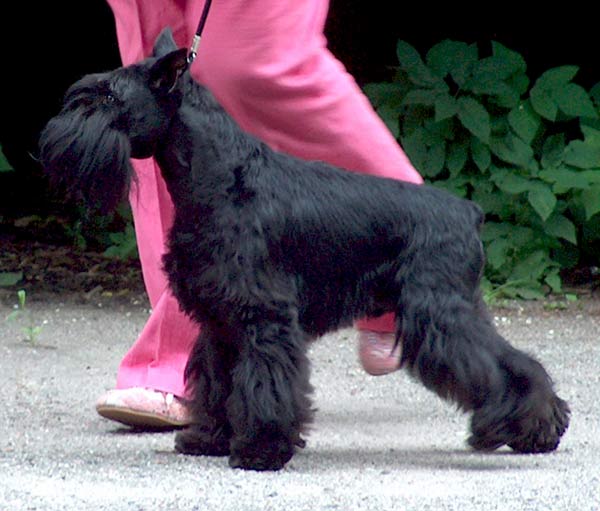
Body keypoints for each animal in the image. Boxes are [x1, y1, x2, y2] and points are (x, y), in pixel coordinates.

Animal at [39, 29, 569, 471]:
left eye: (109, 96)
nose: (53, 140)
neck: (221, 174)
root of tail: (467, 212)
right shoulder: (220, 317)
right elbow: (217, 381)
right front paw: (209, 438)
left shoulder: (263, 314)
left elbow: (264, 383)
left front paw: (261, 451)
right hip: (452, 308)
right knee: (513, 360)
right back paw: (536, 429)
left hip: (438, 315)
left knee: (499, 367)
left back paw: (505, 427)